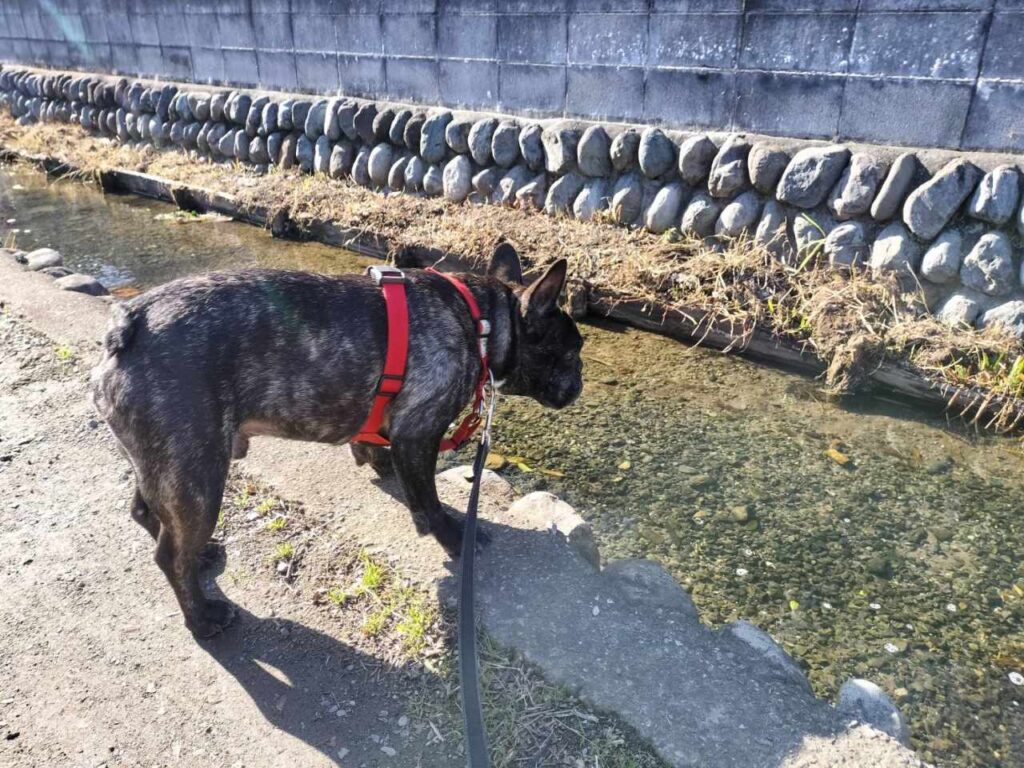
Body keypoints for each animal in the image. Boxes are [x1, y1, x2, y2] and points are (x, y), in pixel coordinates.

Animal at [91, 244, 583, 637]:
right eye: (573, 353)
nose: (580, 382)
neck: (482, 322)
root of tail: (129, 324)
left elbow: (378, 450)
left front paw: (378, 464)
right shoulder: (418, 432)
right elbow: (428, 496)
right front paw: (452, 536)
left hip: (166, 462)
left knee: (146, 512)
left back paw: (201, 559)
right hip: (198, 475)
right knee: (170, 555)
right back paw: (204, 618)